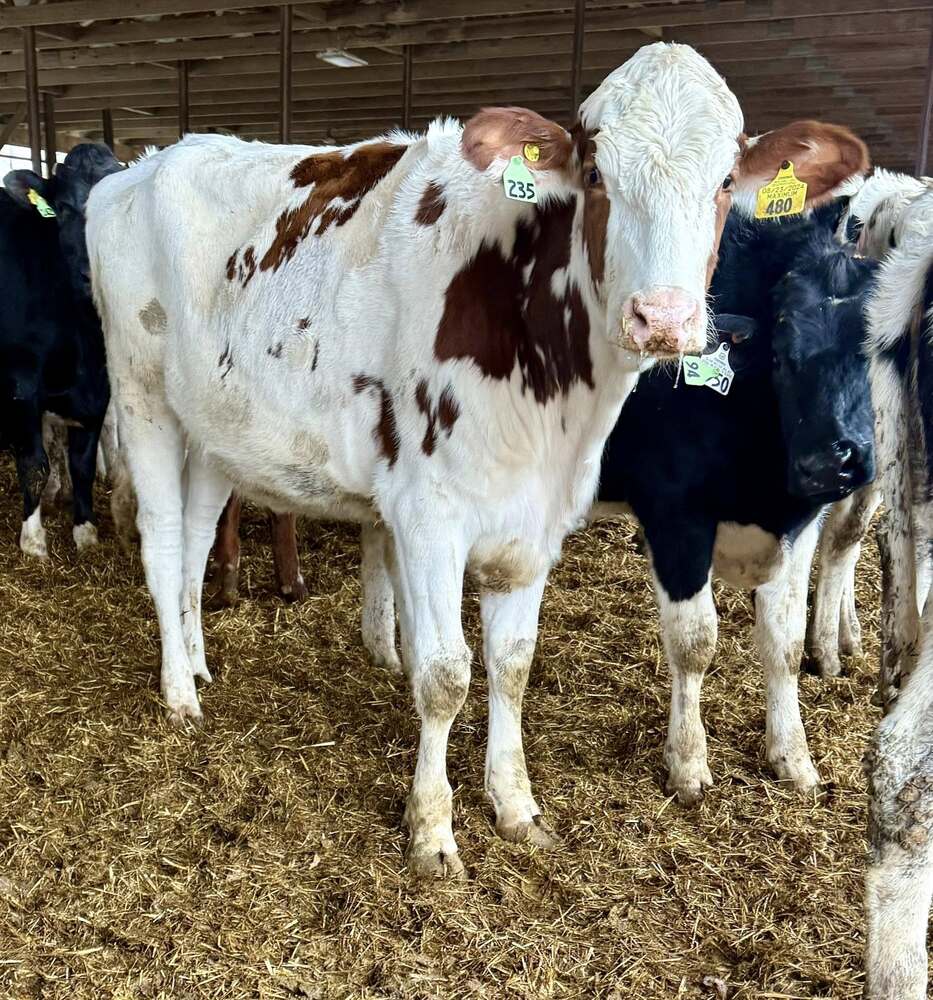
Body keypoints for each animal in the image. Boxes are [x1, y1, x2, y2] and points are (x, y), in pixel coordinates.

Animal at [0, 143, 122, 558]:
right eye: (65, 208)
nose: (92, 273)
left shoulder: (98, 386)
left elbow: (81, 461)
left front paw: (85, 530)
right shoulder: (20, 382)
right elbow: (33, 462)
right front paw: (33, 540)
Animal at [87, 42, 864, 876]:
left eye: (723, 182)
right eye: (596, 174)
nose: (662, 317)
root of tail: (144, 163)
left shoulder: (536, 521)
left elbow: (512, 663)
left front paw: (514, 804)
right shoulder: (430, 515)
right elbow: (444, 675)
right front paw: (431, 831)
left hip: (216, 429)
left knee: (199, 541)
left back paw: (199, 659)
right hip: (142, 396)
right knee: (164, 542)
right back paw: (179, 692)